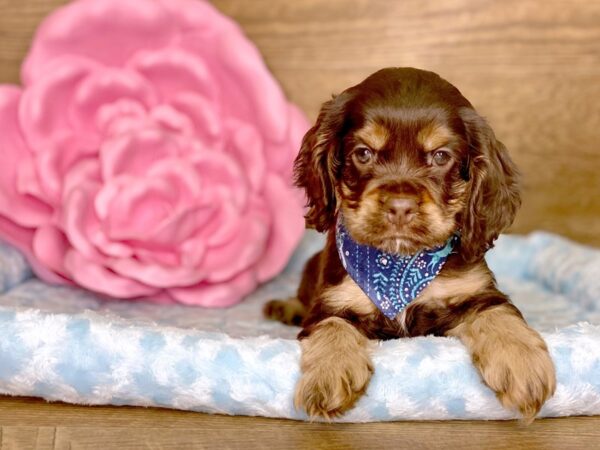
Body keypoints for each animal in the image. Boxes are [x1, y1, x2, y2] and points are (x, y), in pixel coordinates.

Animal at [264, 67, 556, 422]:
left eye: (441, 156)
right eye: (363, 153)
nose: (400, 207)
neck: (399, 264)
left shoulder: (475, 291)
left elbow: (499, 313)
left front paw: (523, 364)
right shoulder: (332, 301)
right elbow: (331, 325)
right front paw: (329, 374)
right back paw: (286, 306)